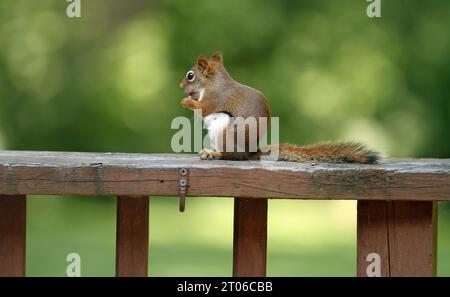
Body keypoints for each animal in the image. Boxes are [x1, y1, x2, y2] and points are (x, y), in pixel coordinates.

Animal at [179, 52, 380, 163]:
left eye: (190, 75)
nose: (180, 86)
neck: (214, 83)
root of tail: (250, 152)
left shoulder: (215, 98)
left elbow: (203, 108)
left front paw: (186, 102)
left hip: (223, 132)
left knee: (232, 156)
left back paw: (214, 154)